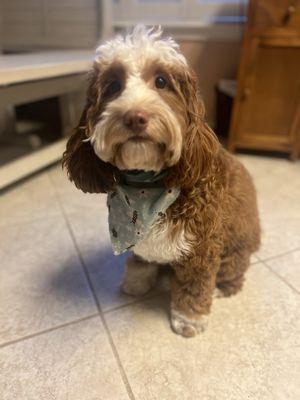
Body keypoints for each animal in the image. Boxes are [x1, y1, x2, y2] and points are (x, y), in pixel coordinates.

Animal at [62, 25, 260, 338]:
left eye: (161, 81)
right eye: (113, 85)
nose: (134, 117)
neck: (145, 187)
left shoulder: (201, 250)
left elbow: (193, 289)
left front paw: (189, 320)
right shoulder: (142, 242)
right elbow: (141, 263)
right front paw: (136, 284)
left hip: (233, 254)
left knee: (234, 278)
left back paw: (220, 289)